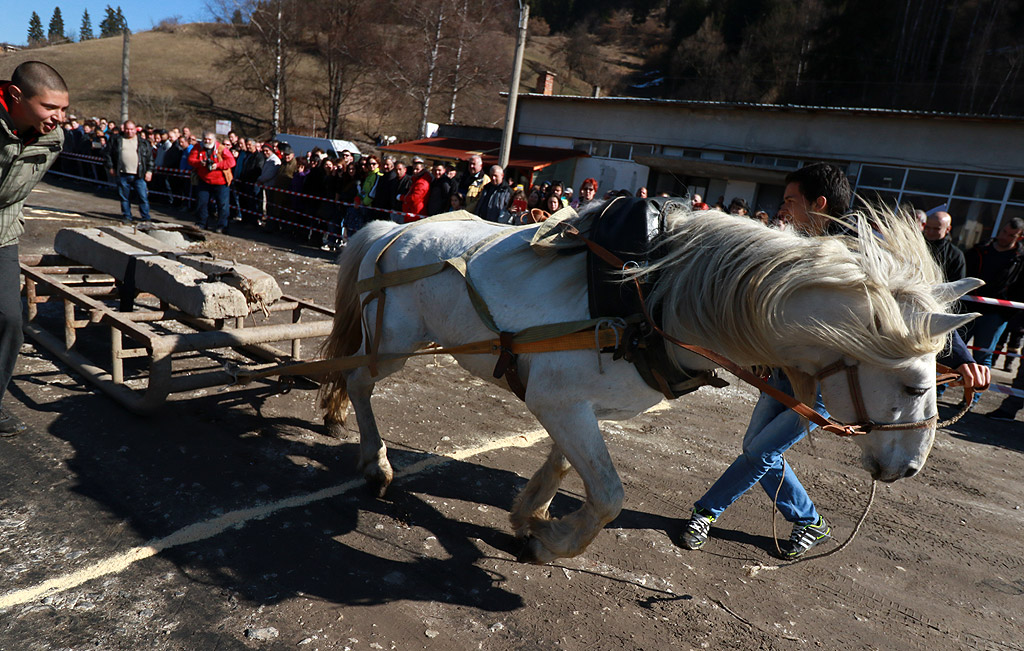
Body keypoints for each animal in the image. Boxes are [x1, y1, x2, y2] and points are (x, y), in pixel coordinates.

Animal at [317, 204, 974, 565]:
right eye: (914, 387)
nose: (909, 469)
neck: (652, 296)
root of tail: (392, 230)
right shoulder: (559, 401)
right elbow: (609, 496)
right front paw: (550, 543)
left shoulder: (582, 407)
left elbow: (566, 468)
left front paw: (531, 517)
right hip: (395, 347)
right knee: (358, 380)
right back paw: (372, 460)